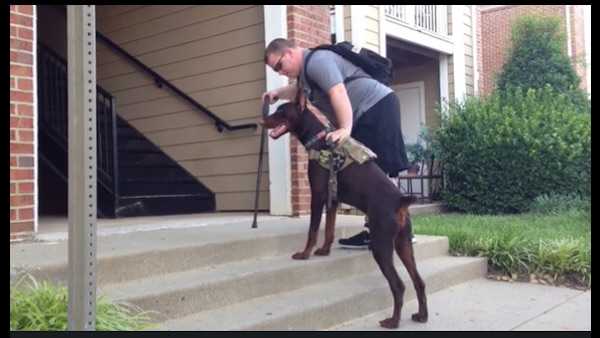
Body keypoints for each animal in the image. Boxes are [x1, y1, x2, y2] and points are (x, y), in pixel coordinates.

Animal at [262, 102, 426, 328]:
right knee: (419, 281)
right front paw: (324, 251)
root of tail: (400, 202)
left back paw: (393, 321)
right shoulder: (333, 198)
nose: (262, 120)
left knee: (398, 285)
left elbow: (313, 229)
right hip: (403, 244)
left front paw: (304, 254)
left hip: (382, 245)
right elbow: (329, 228)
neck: (319, 139)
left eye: (281, 111)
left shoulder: (318, 195)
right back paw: (422, 316)